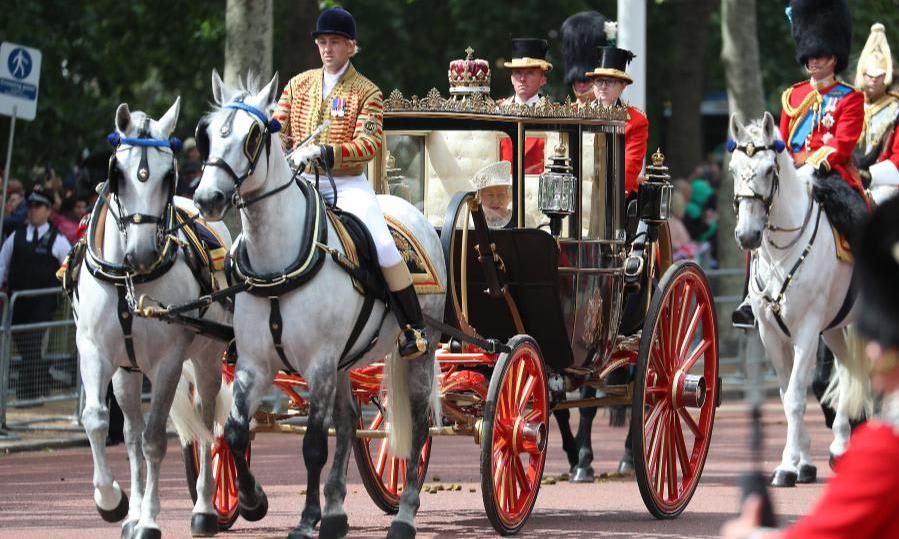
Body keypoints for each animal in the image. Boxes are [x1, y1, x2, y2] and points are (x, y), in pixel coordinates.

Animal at [75, 99, 232, 536]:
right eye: (118, 174)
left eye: (168, 174)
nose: (143, 253)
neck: (129, 278)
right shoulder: (94, 351)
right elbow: (97, 421)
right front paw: (112, 501)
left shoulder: (168, 362)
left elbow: (156, 440)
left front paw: (148, 518)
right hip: (126, 371)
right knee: (130, 432)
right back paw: (129, 512)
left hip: (207, 357)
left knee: (208, 421)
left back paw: (205, 508)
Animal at [192, 73, 444, 539]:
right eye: (207, 134)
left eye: (252, 136)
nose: (208, 199)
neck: (279, 263)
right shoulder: (255, 364)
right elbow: (234, 432)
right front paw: (253, 501)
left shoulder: (320, 364)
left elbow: (312, 445)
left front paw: (306, 519)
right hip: (346, 364)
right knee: (346, 424)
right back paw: (337, 513)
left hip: (422, 350)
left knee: (419, 426)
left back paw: (403, 515)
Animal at [732, 112, 872, 488]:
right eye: (734, 169)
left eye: (769, 169)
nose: (747, 235)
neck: (781, 252)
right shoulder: (770, 332)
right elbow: (786, 395)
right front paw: (801, 462)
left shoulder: (807, 329)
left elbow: (796, 396)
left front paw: (786, 466)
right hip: (838, 327)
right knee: (850, 371)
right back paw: (841, 445)